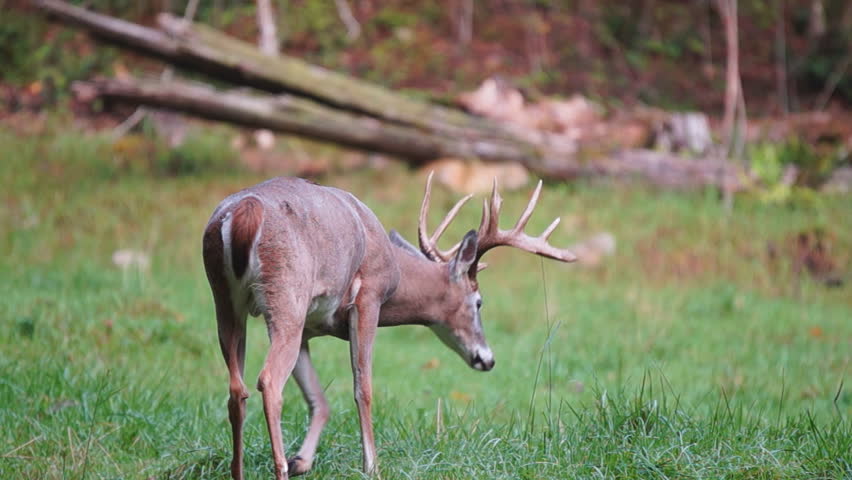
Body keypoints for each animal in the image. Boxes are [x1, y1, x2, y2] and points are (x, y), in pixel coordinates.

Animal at [201, 172, 576, 480]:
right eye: (479, 302)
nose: (487, 358)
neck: (396, 276)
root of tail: (243, 213)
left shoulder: (310, 323)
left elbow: (319, 398)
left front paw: (302, 461)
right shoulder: (367, 297)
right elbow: (363, 387)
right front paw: (373, 467)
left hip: (225, 300)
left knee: (237, 388)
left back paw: (239, 472)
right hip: (285, 295)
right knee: (269, 381)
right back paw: (278, 470)